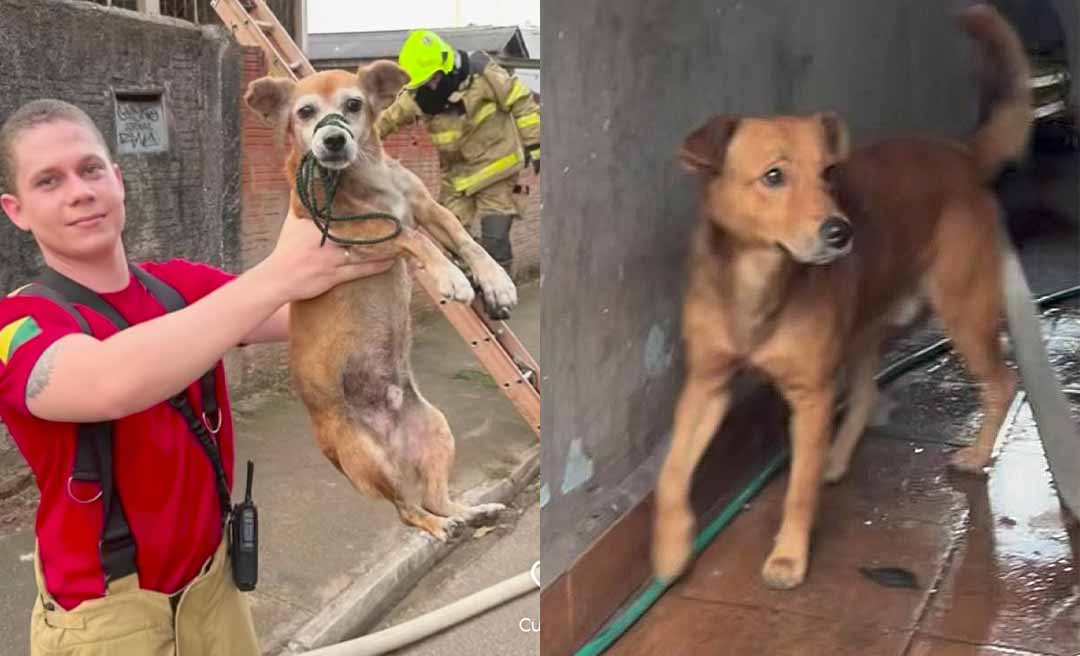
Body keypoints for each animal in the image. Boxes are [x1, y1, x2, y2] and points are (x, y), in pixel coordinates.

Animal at [245, 64, 514, 542]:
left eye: (354, 104)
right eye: (304, 112)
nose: (333, 140)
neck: (368, 174)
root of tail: (393, 438)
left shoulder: (426, 206)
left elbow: (463, 237)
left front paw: (495, 281)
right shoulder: (354, 234)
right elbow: (412, 236)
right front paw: (450, 276)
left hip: (437, 431)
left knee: (434, 498)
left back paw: (472, 513)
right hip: (366, 457)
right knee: (408, 510)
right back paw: (442, 526)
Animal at [648, 5, 1028, 592]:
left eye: (829, 173)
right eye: (773, 176)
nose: (840, 232)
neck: (760, 281)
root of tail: (962, 154)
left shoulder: (810, 395)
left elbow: (798, 493)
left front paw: (788, 558)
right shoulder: (706, 385)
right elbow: (670, 476)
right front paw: (670, 551)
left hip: (964, 313)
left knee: (1002, 382)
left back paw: (976, 454)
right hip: (864, 330)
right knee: (868, 392)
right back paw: (835, 457)